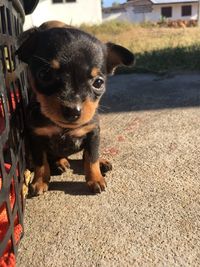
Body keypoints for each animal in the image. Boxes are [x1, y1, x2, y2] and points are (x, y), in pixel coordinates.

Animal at [15, 21, 134, 197]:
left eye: (98, 82)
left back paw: (101, 162)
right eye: (44, 75)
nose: (72, 110)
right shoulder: (36, 138)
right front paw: (40, 181)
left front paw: (95, 179)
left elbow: (91, 157)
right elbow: (40, 162)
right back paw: (60, 163)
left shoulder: (93, 133)